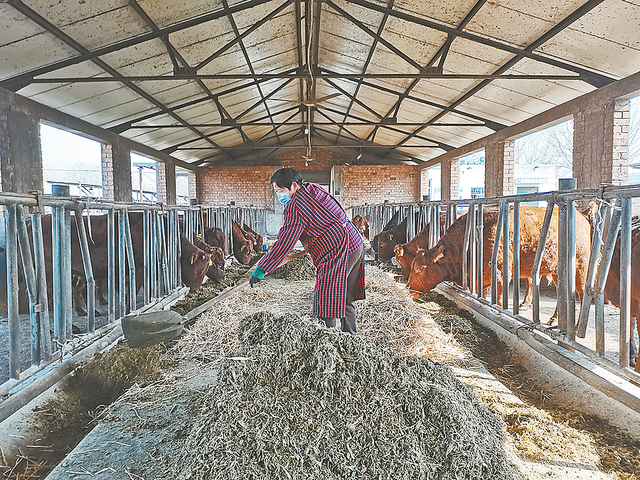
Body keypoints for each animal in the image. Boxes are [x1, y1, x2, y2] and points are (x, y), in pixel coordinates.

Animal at [408, 203, 592, 322]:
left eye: (420, 268)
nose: (408, 287)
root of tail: (582, 216)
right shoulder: (480, 280)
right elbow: (482, 297)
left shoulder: (501, 275)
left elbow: (499, 301)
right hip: (557, 271)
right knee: (562, 292)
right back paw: (553, 320)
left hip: (581, 265)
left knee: (581, 294)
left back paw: (575, 327)